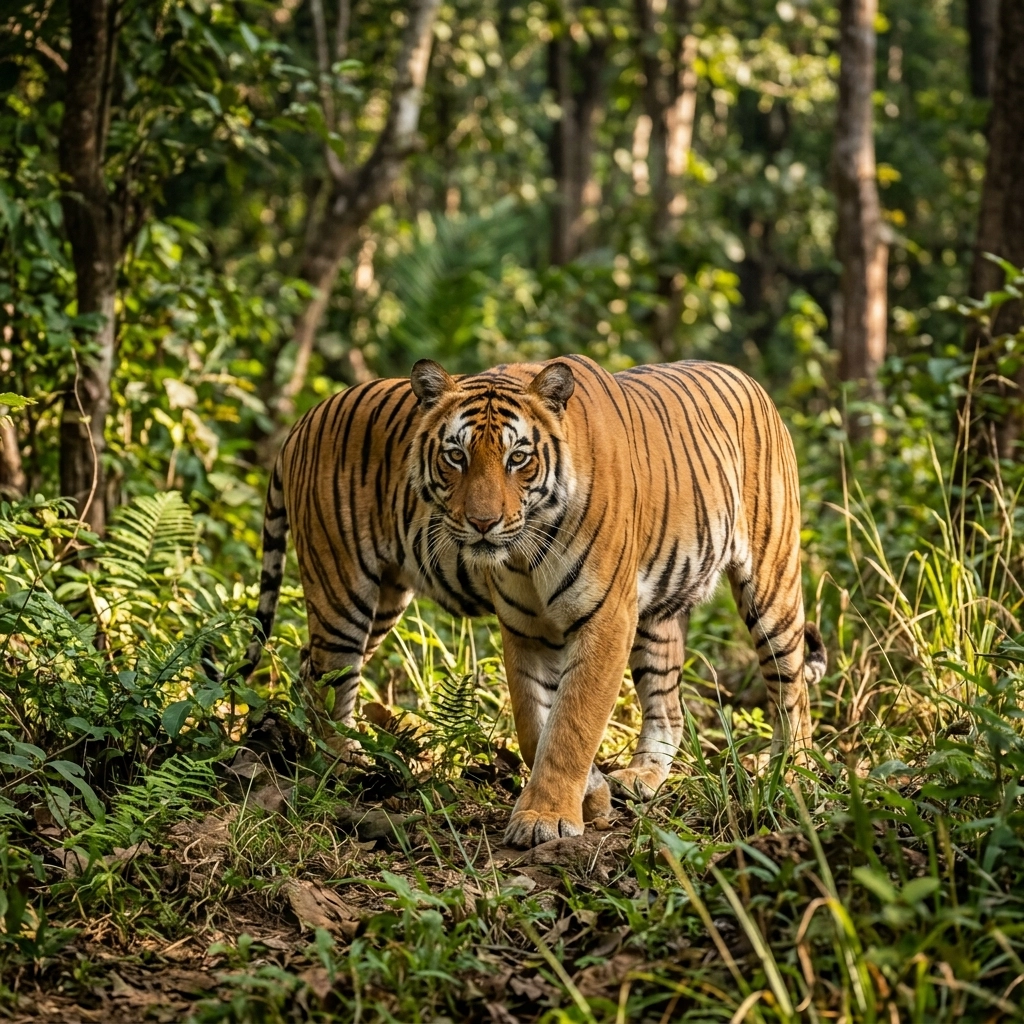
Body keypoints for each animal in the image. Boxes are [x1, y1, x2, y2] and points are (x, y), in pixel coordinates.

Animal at [245, 355, 826, 848]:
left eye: (517, 458)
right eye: (456, 456)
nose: (483, 523)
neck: (528, 549)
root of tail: (302, 422)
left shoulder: (607, 618)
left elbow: (571, 722)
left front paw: (547, 817)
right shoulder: (525, 627)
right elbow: (535, 724)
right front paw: (582, 799)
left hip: (768, 580)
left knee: (788, 685)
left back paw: (788, 771)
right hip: (351, 593)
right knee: (321, 676)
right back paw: (343, 766)